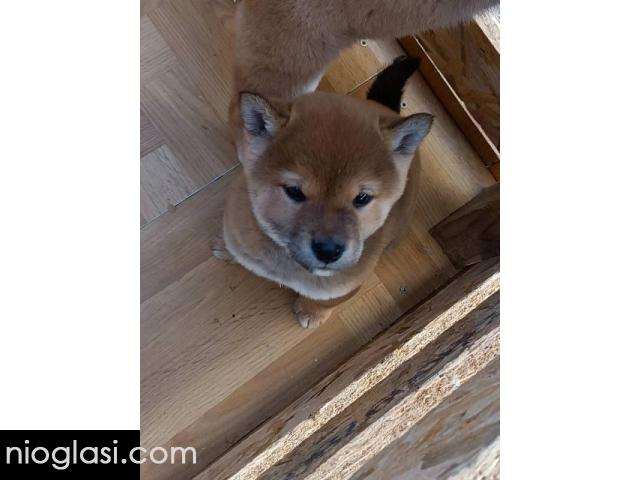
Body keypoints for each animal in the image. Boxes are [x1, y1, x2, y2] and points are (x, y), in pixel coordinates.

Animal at [220, 1, 498, 328]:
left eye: (362, 198)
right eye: (295, 192)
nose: (329, 251)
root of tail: (386, 109)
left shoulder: (344, 287)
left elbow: (326, 301)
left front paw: (311, 313)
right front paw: (225, 249)